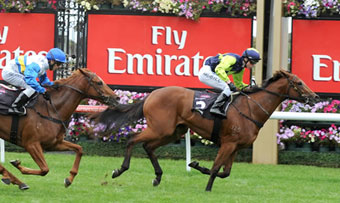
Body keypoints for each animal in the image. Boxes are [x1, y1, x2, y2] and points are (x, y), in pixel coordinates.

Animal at [93, 69, 318, 191]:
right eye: (299, 83)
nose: (314, 97)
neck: (251, 109)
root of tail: (152, 95)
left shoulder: (236, 147)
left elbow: (225, 172)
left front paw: (196, 165)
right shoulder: (228, 143)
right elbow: (217, 168)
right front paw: (207, 187)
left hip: (172, 131)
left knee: (148, 147)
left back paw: (157, 176)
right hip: (160, 128)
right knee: (133, 139)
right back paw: (119, 170)